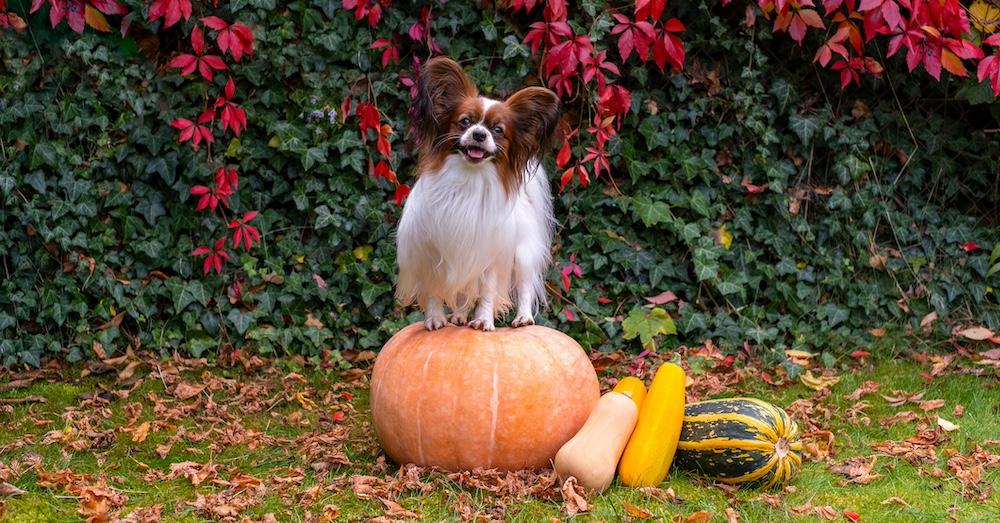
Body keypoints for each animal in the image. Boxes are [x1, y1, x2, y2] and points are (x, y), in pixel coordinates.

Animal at [392, 56, 564, 332]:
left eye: (498, 130)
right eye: (465, 121)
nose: (479, 134)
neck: (468, 181)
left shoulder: (489, 256)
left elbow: (487, 292)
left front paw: (483, 320)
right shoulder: (432, 253)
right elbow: (434, 292)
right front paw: (436, 319)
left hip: (523, 254)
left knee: (525, 286)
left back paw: (523, 318)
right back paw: (460, 317)